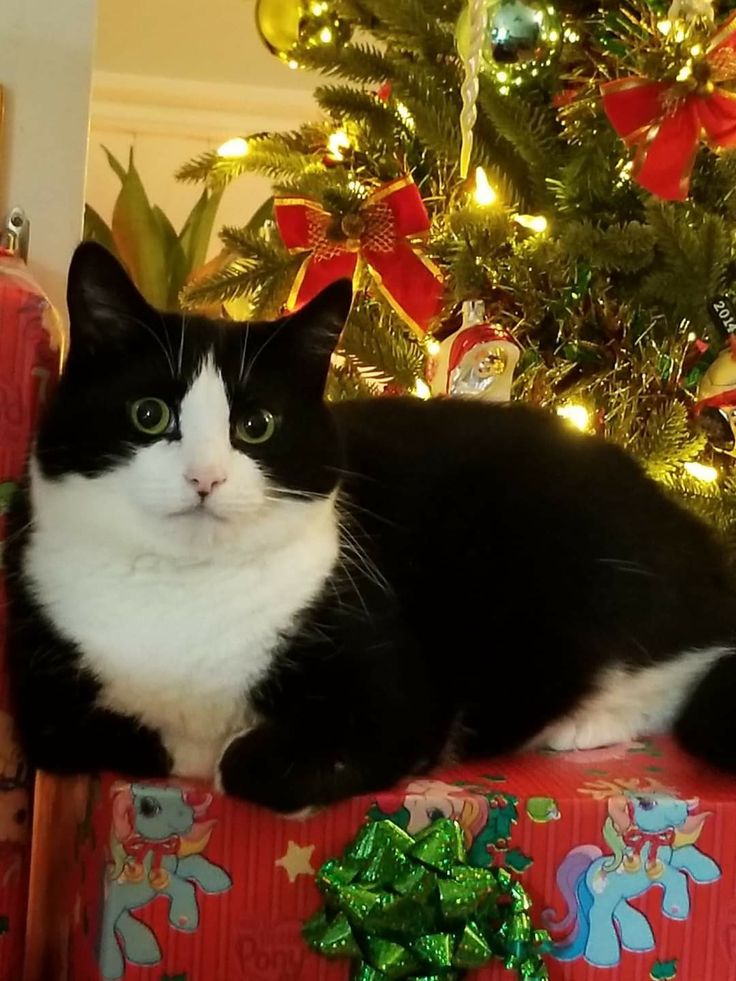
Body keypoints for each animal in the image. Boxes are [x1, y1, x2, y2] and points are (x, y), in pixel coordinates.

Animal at [5, 243, 736, 812]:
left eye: (256, 426)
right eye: (149, 414)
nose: (205, 478)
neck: (186, 592)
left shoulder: (398, 690)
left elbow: (258, 758)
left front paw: (234, 750)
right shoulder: (43, 697)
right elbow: (116, 733)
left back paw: (585, 722)